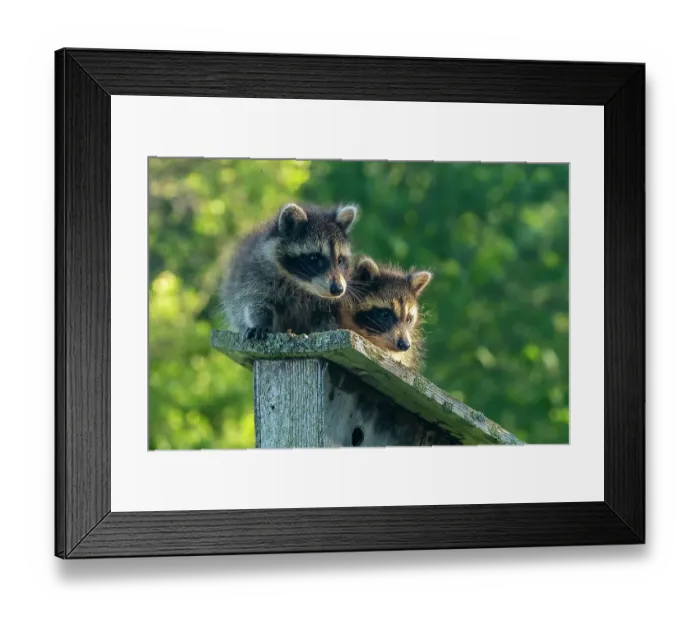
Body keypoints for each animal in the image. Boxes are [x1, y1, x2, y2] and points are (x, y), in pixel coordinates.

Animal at [220, 202, 359, 339]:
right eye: (314, 258)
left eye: (340, 260)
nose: (338, 289)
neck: (301, 285)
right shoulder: (255, 275)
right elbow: (256, 302)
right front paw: (260, 323)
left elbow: (328, 316)